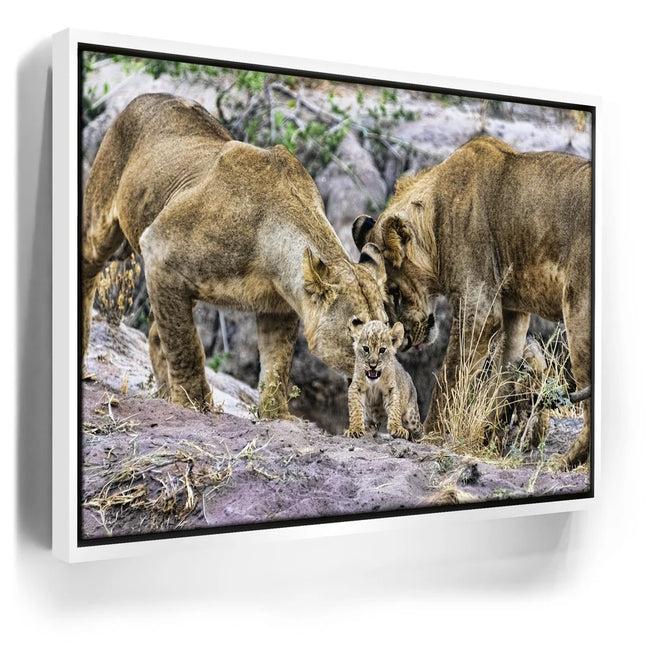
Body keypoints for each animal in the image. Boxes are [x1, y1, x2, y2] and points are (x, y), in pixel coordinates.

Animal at [82, 93, 388, 417]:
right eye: (358, 329)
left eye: (389, 333)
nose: (380, 368)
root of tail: (148, 96)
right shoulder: (158, 249)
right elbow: (185, 344)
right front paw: (194, 403)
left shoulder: (279, 306)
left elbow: (277, 365)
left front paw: (276, 415)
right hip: (102, 220)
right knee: (89, 270)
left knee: (155, 333)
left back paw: (164, 393)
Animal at [352, 136, 592, 468]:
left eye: (394, 291)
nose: (406, 341)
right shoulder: (513, 311)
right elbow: (502, 380)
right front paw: (488, 441)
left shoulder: (479, 309)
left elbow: (450, 374)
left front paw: (432, 435)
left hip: (578, 315)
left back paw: (566, 461)